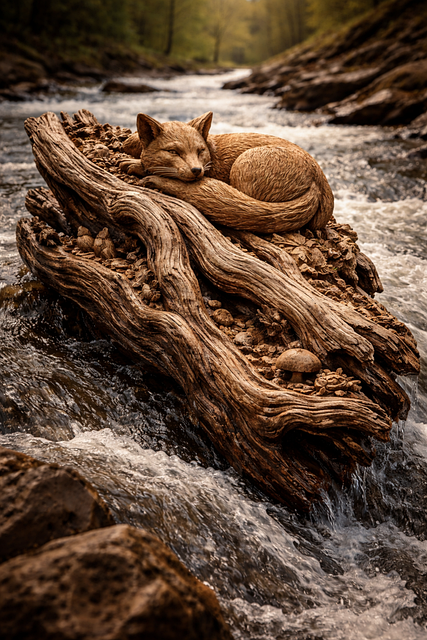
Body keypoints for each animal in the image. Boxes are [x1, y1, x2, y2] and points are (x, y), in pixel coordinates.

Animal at [119, 111, 333, 233]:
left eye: (200, 151)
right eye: (173, 152)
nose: (196, 170)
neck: (212, 156)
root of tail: (318, 180)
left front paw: (140, 166)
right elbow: (132, 142)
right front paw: (137, 161)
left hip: (242, 167)